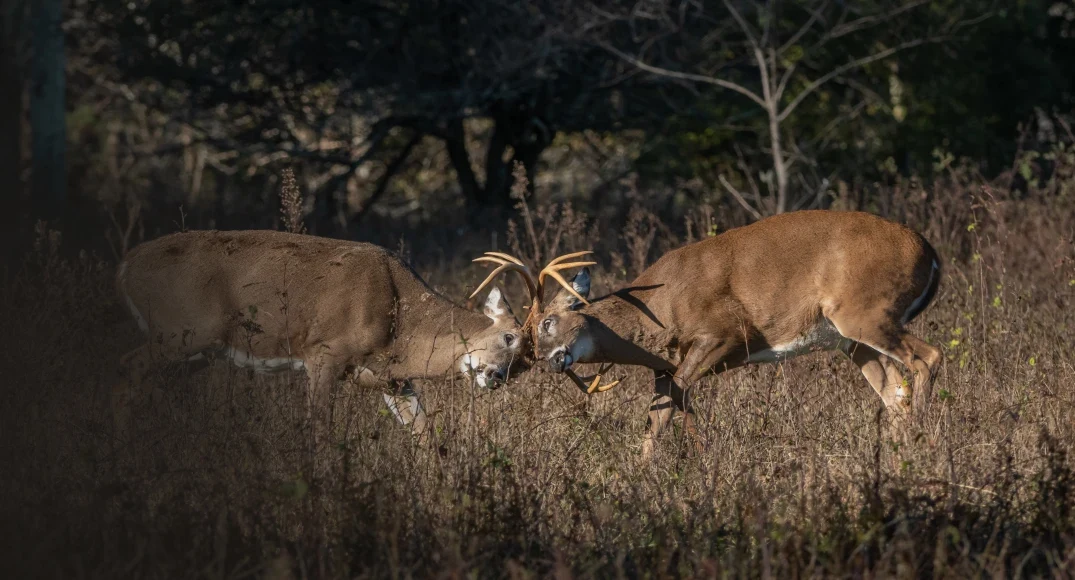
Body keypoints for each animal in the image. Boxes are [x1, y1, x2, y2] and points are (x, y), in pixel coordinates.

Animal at [111, 228, 537, 446]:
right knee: (125, 366)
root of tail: (125, 264)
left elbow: (425, 434)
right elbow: (318, 430)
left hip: (192, 352)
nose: (495, 377)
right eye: (509, 338)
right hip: (180, 333)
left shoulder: (391, 378)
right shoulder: (324, 352)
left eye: (524, 366)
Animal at [470, 210, 941, 459]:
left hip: (867, 310)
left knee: (928, 358)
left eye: (547, 323)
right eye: (528, 345)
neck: (659, 312)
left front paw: (700, 455)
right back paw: (898, 452)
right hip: (851, 339)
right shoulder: (669, 361)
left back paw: (921, 443)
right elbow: (659, 411)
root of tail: (930, 250)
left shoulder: (725, 334)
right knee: (895, 392)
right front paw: (645, 471)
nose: (552, 361)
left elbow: (677, 395)